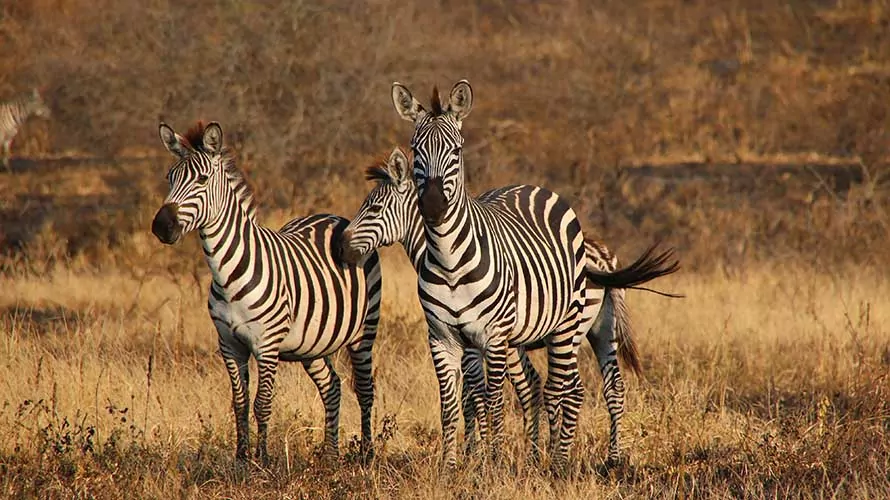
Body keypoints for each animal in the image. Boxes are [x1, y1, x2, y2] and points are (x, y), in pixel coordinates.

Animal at [151, 121, 380, 464]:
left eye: (202, 180)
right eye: (169, 177)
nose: (161, 227)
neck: (228, 274)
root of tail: (333, 217)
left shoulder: (267, 344)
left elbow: (262, 403)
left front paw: (263, 460)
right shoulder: (229, 345)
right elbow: (240, 402)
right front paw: (241, 458)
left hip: (363, 331)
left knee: (364, 389)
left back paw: (366, 454)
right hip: (311, 343)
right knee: (332, 386)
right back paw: (330, 454)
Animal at [340, 147, 672, 464]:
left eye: (374, 208)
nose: (342, 246)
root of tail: (601, 257)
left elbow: (476, 396)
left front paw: (477, 452)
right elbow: (514, 390)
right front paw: (502, 450)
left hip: (574, 329)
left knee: (575, 389)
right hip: (603, 329)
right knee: (613, 387)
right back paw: (612, 457)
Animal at [388, 80, 680, 470]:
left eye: (457, 150)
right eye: (415, 148)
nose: (433, 207)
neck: (449, 262)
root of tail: (532, 188)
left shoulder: (495, 337)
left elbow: (491, 400)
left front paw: (491, 464)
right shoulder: (442, 337)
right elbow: (452, 405)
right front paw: (451, 468)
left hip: (572, 325)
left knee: (568, 389)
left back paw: (563, 462)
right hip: (589, 328)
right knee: (589, 387)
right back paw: (578, 457)